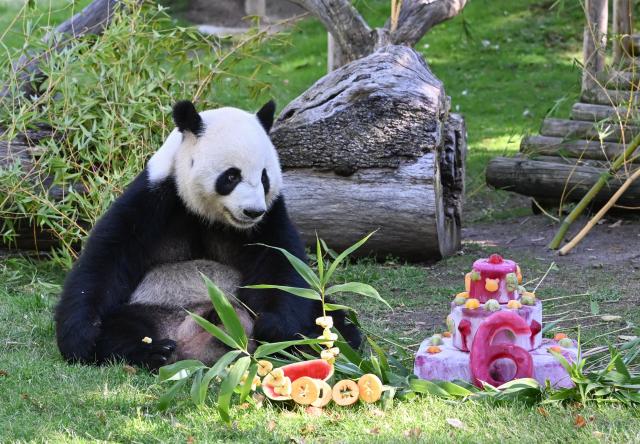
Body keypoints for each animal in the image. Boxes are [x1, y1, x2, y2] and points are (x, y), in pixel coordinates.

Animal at [55, 100, 361, 369]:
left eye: (264, 177)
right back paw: (155, 351)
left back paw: (314, 341)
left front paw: (274, 328)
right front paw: (81, 337)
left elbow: (281, 266)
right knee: (121, 329)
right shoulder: (155, 197)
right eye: (231, 176)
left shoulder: (271, 216)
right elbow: (107, 259)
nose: (252, 211)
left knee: (332, 319)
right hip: (149, 308)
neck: (211, 215)